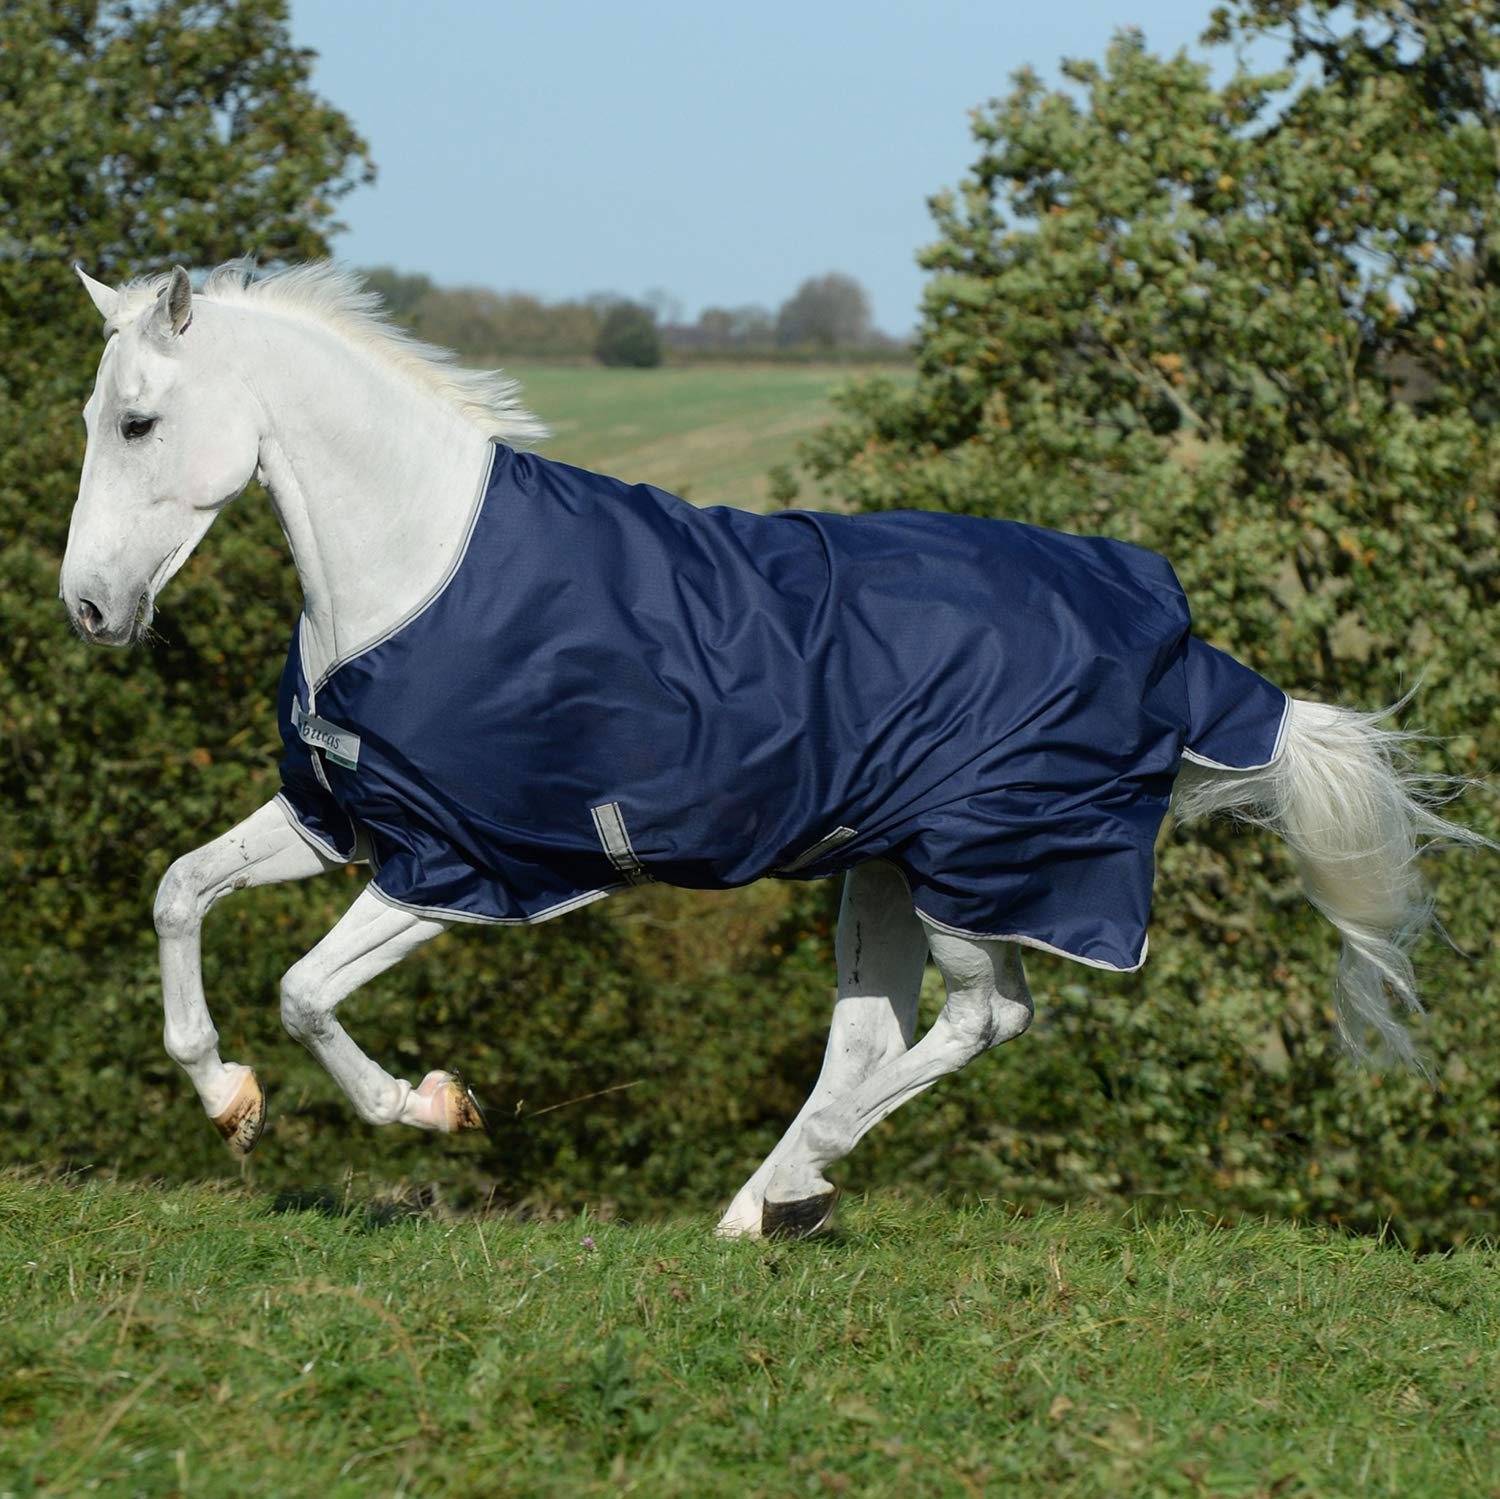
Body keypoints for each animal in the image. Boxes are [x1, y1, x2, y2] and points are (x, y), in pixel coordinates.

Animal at [60, 260, 1484, 1239]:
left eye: (135, 423)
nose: (89, 610)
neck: (419, 571)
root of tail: (1179, 646)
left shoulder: (466, 867)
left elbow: (306, 989)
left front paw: (430, 1104)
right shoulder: (342, 818)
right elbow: (178, 890)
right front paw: (227, 1098)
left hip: (981, 870)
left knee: (987, 1017)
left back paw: (797, 1182)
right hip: (888, 867)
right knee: (875, 1035)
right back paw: (765, 1205)